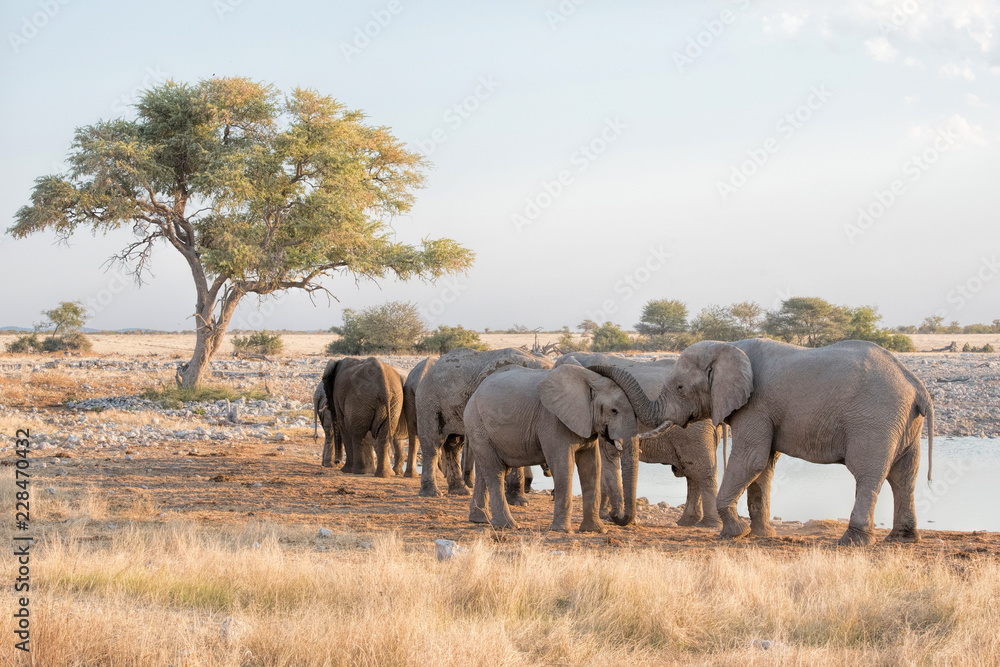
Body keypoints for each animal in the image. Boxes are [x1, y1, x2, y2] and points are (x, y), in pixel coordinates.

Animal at [416, 350, 556, 496]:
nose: (548, 471)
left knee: (454, 444)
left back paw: (461, 491)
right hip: (428, 401)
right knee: (433, 444)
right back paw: (432, 493)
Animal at [462, 366, 640, 532]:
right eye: (614, 411)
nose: (614, 515)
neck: (589, 381)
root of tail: (474, 393)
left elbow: (592, 467)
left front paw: (596, 530)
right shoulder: (552, 420)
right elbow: (563, 466)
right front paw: (563, 531)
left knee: (484, 471)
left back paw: (481, 519)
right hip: (477, 424)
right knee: (495, 471)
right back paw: (508, 525)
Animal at [556, 352, 728, 528]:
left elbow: (605, 459)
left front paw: (606, 515)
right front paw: (608, 515)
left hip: (695, 432)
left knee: (702, 471)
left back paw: (709, 525)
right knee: (692, 472)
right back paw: (686, 522)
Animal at [588, 340, 932, 548]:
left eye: (681, 387)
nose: (593, 368)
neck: (727, 346)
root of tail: (915, 383)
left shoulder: (756, 405)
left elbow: (750, 459)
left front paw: (734, 533)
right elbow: (764, 465)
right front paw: (761, 534)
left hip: (875, 420)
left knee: (868, 474)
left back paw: (852, 540)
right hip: (903, 423)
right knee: (905, 476)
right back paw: (902, 539)